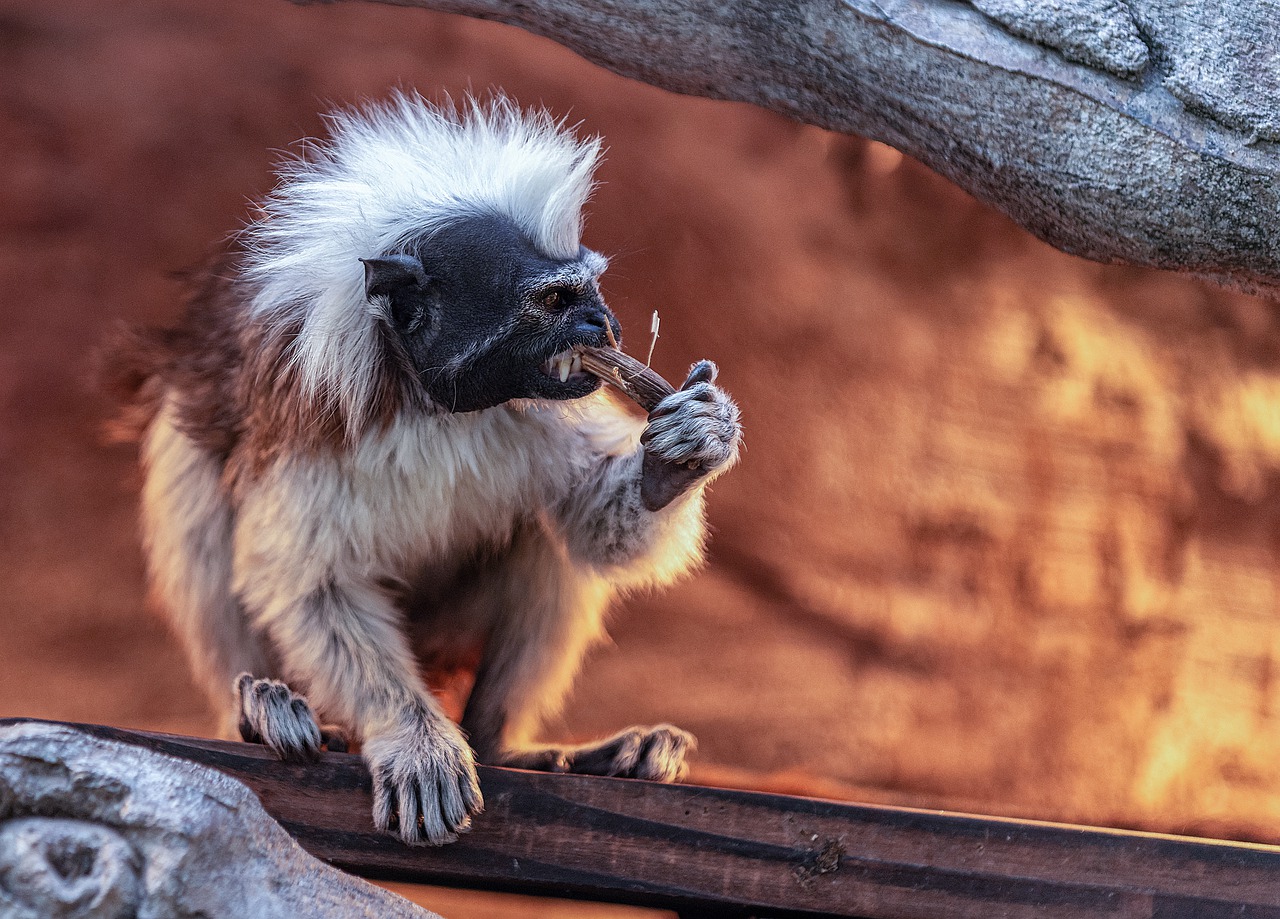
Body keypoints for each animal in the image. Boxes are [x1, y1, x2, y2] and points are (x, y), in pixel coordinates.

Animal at [106, 93, 742, 846]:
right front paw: (414, 741)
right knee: (195, 488)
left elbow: (596, 529)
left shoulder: (550, 410)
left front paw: (680, 454)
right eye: (556, 301)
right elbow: (309, 583)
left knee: (545, 538)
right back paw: (263, 710)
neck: (430, 401)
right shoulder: (308, 407)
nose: (605, 326)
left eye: (592, 291)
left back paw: (510, 744)